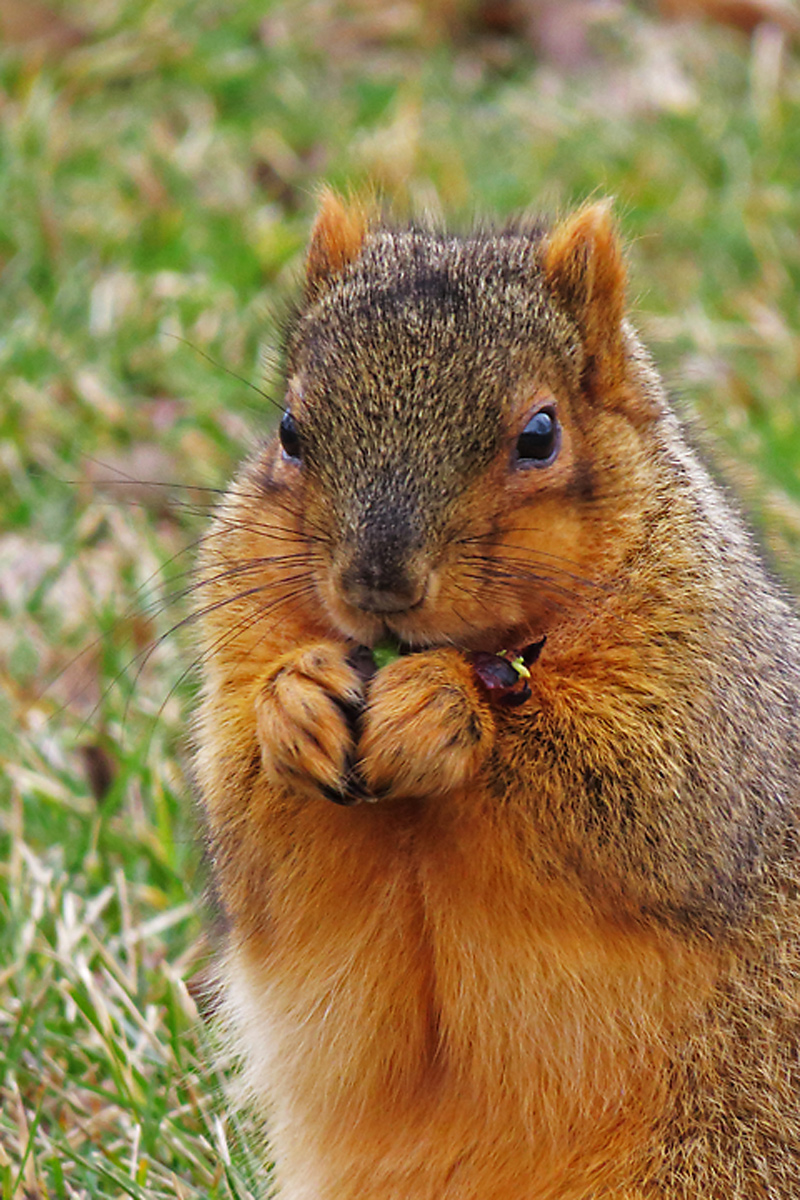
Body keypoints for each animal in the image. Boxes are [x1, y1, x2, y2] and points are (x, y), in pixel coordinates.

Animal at [193, 190, 800, 1199]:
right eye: (289, 430)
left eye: (540, 435)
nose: (377, 582)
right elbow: (262, 859)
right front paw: (294, 705)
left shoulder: (719, 716)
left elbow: (653, 799)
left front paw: (442, 712)